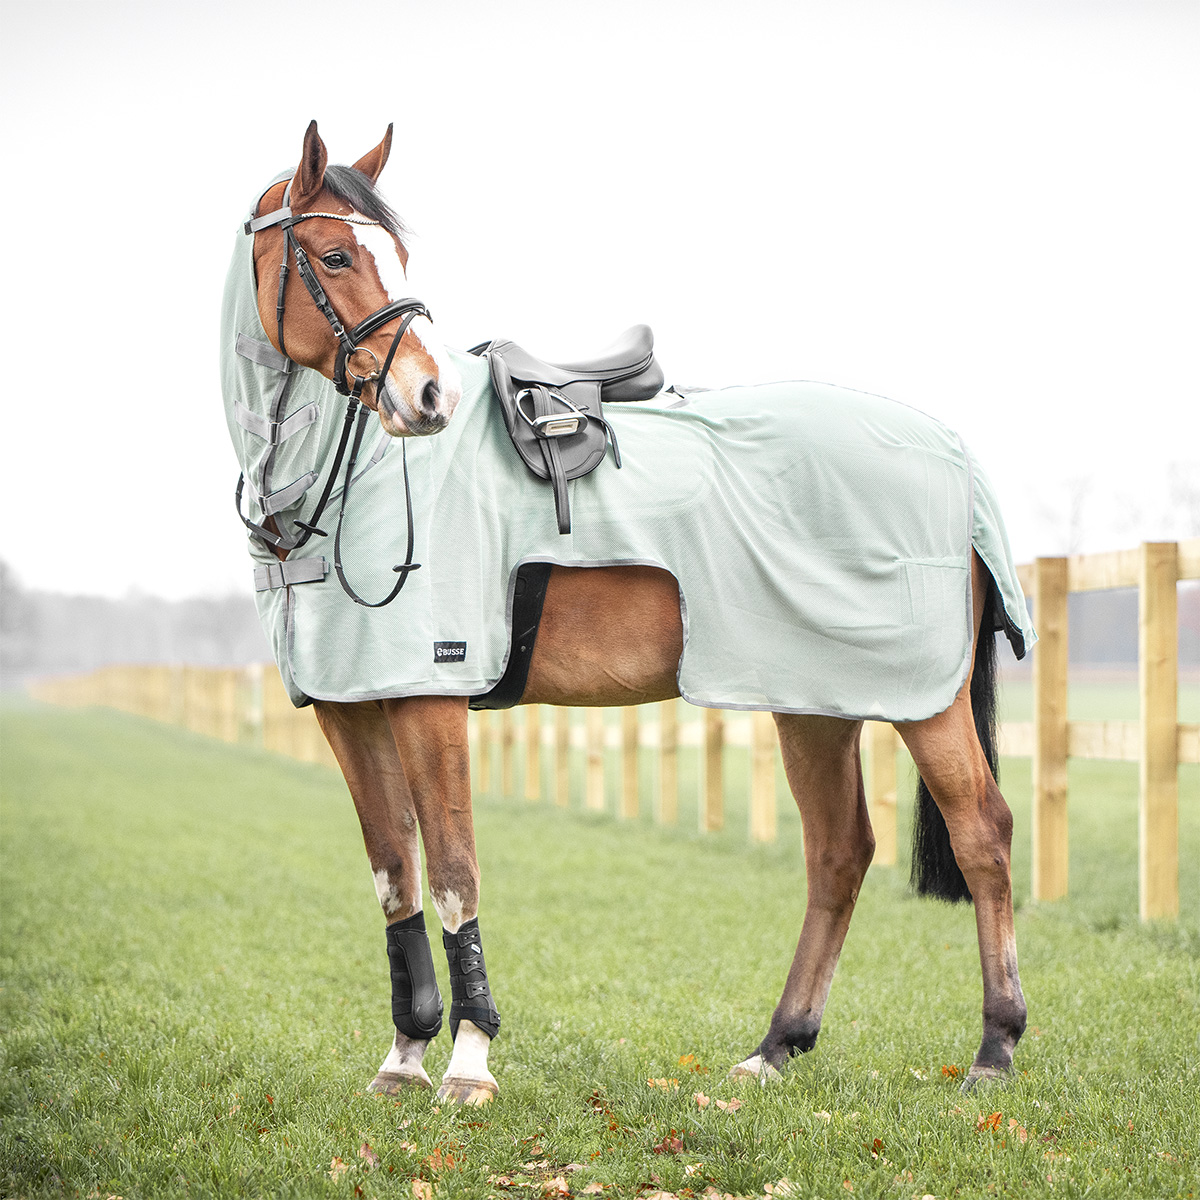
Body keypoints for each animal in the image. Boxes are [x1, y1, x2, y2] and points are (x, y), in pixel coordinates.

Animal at [238, 121, 1027, 1104]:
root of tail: (952, 451)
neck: (358, 482)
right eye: (336, 254)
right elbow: (395, 878)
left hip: (924, 700)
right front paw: (403, 1056)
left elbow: (454, 872)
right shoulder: (350, 710)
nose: (427, 399)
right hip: (812, 702)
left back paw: (994, 1049)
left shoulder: (430, 699)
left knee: (982, 833)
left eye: (393, 254)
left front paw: (468, 1063)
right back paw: (776, 1046)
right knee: (839, 852)